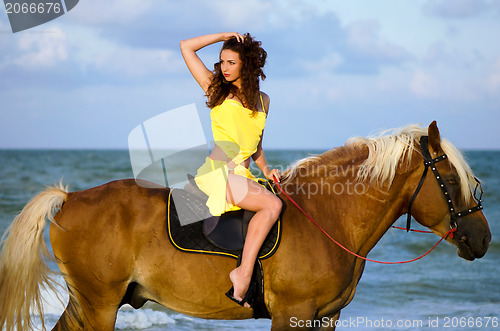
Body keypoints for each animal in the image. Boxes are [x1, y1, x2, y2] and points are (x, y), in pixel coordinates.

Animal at [0, 122, 492, 331]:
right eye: (451, 181)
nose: (484, 238)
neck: (327, 216)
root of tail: (71, 197)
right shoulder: (291, 314)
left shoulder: (325, 318)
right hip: (98, 305)